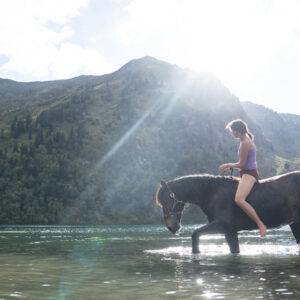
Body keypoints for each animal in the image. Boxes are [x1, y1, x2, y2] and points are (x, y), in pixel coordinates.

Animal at [155, 171, 300, 253]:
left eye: (167, 200)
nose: (172, 227)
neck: (211, 193)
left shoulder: (222, 225)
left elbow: (195, 235)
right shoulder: (229, 231)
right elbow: (234, 250)